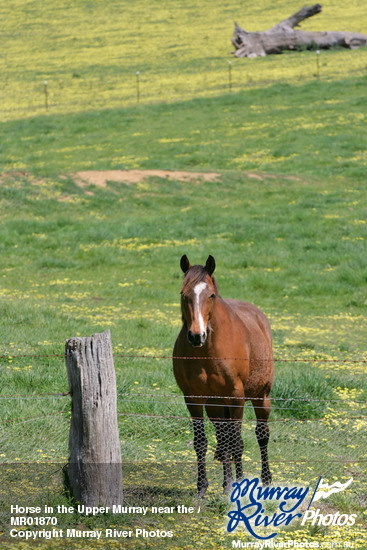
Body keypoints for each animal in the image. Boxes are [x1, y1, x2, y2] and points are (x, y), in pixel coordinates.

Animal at [174, 256, 274, 498]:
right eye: (184, 294)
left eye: (210, 295)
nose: (196, 335)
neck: (207, 351)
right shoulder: (193, 398)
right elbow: (202, 442)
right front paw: (202, 487)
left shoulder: (236, 397)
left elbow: (236, 443)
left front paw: (238, 485)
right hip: (216, 405)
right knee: (223, 438)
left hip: (261, 397)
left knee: (262, 435)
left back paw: (266, 479)